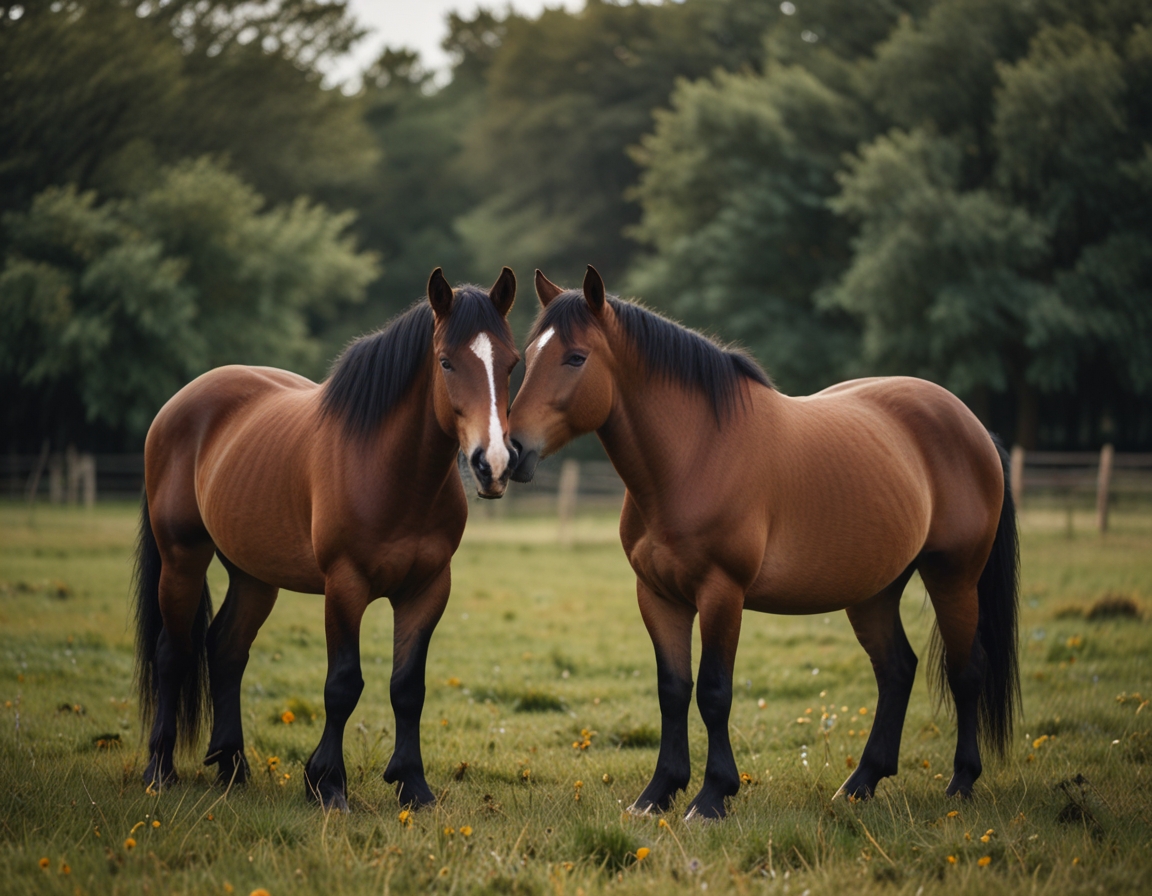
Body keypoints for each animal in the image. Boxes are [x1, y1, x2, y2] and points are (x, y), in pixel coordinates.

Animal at [133, 267, 521, 810]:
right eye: (446, 361)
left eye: (512, 363)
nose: (494, 464)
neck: (391, 471)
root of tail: (176, 406)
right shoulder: (345, 586)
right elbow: (342, 684)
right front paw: (327, 783)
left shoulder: (427, 589)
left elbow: (408, 688)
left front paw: (413, 785)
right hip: (182, 558)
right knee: (173, 653)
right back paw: (160, 769)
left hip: (254, 576)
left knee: (226, 649)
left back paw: (231, 766)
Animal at [508, 266, 1019, 820]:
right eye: (528, 355)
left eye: (576, 357)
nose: (510, 449)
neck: (695, 454)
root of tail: (972, 425)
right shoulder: (658, 596)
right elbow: (673, 690)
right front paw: (658, 793)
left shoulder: (722, 593)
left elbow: (713, 691)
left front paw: (712, 797)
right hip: (874, 591)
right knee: (896, 670)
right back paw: (860, 783)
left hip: (953, 578)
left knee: (966, 671)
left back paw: (961, 783)